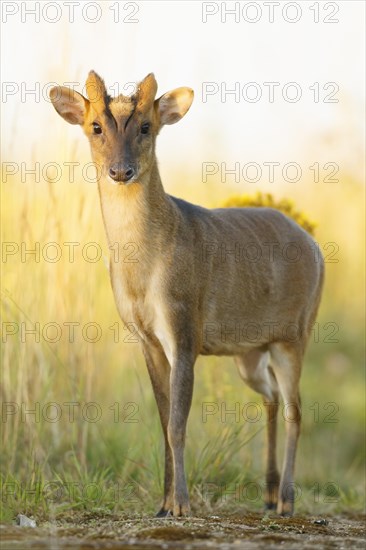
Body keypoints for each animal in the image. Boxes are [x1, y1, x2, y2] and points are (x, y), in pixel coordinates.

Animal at [50, 72, 324, 516]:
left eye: (146, 126)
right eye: (95, 127)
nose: (120, 171)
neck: (143, 273)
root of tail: (315, 244)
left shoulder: (184, 327)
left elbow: (178, 423)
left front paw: (181, 505)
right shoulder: (145, 337)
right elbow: (163, 423)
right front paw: (162, 504)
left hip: (295, 333)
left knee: (295, 410)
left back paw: (286, 500)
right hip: (250, 351)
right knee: (271, 396)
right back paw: (267, 494)